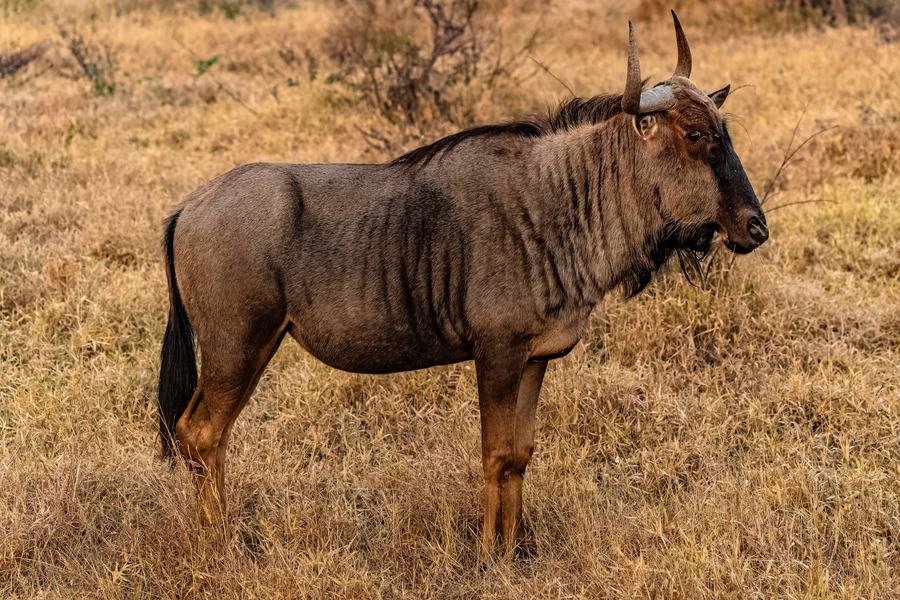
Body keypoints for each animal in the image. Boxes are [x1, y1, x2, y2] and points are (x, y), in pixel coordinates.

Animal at [158, 11, 768, 559]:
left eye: (726, 133)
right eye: (696, 135)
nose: (756, 227)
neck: (560, 200)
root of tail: (189, 206)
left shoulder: (534, 358)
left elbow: (520, 454)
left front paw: (517, 551)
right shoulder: (495, 353)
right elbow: (494, 453)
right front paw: (486, 555)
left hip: (252, 350)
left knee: (206, 436)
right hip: (236, 349)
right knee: (201, 434)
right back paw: (221, 547)